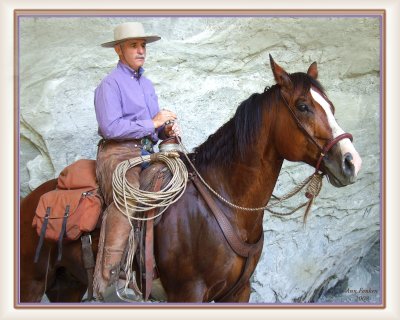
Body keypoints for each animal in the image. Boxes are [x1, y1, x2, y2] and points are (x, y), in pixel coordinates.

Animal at [18, 56, 362, 304]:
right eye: (303, 106)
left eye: (330, 106)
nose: (351, 161)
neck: (226, 204)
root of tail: (31, 200)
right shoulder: (188, 292)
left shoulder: (238, 293)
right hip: (30, 284)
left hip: (67, 285)